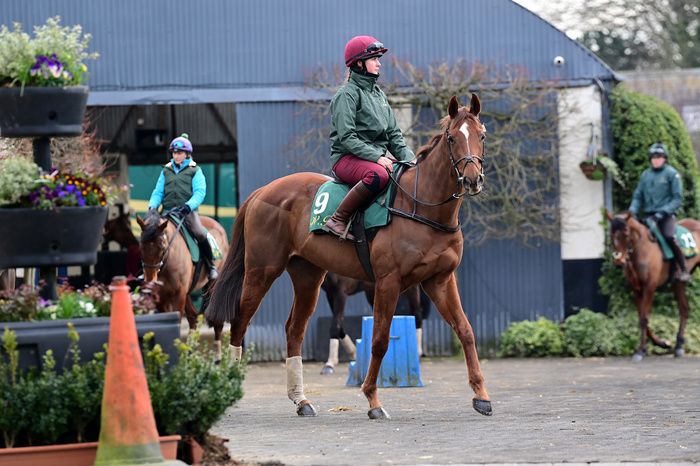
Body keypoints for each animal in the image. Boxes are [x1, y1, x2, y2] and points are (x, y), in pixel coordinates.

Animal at [138, 209, 231, 358]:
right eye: (141, 246)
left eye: (162, 246)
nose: (150, 279)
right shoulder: (162, 297)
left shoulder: (178, 294)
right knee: (193, 318)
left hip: (213, 285)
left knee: (216, 320)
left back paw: (217, 358)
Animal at [208, 94, 492, 418]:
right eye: (452, 137)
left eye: (482, 135)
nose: (472, 179)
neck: (421, 206)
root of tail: (263, 191)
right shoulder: (388, 282)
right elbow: (379, 340)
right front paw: (373, 400)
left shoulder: (439, 280)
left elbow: (465, 330)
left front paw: (481, 396)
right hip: (261, 271)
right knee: (240, 320)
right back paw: (233, 383)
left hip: (308, 278)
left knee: (294, 330)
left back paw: (301, 400)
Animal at [604, 211, 696, 360]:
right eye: (611, 233)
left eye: (626, 232)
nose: (618, 260)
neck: (642, 248)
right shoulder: (636, 289)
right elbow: (642, 316)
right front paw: (661, 343)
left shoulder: (649, 287)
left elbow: (644, 318)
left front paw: (641, 350)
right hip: (678, 284)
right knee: (684, 309)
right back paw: (679, 346)